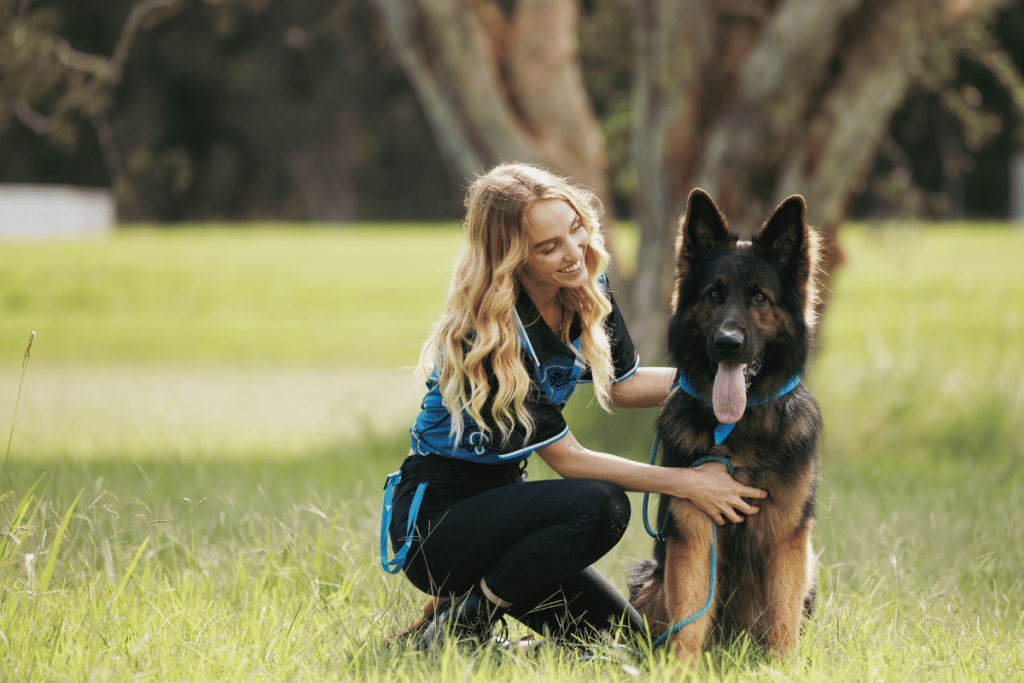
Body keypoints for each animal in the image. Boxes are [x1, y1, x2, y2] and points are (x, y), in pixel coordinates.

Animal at [622, 189, 823, 663]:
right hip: (646, 578)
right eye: (713, 295)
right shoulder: (694, 524)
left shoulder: (787, 534)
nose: (727, 344)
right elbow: (691, 611)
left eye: (759, 298)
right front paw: (681, 668)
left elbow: (782, 613)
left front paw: (782, 667)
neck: (740, 427)